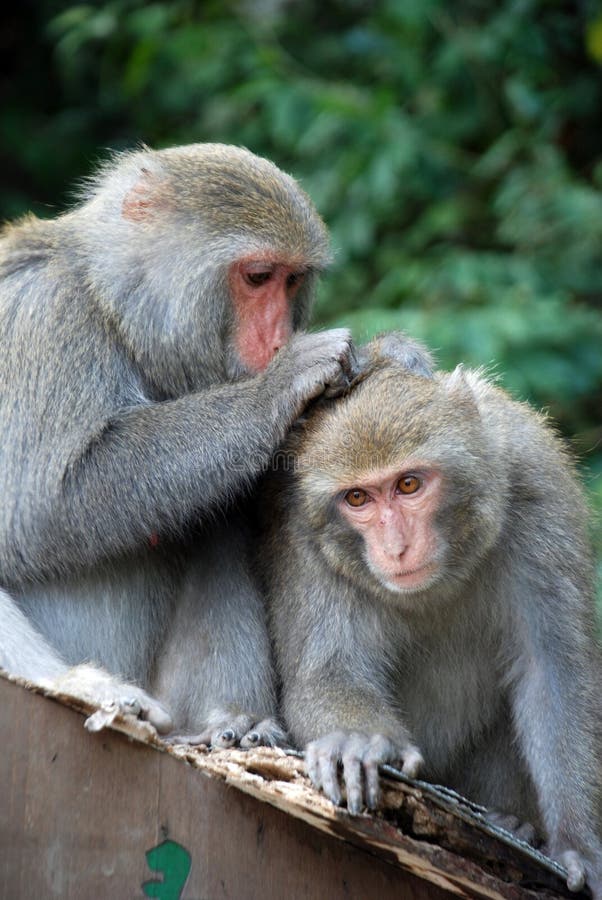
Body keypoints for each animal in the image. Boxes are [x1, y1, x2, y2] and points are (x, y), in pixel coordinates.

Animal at [0, 141, 360, 744]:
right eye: (258, 276)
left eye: (292, 282)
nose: (279, 339)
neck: (112, 310)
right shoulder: (42, 318)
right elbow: (40, 506)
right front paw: (280, 385)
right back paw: (83, 683)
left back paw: (231, 718)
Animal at [262, 342, 600, 892]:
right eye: (357, 497)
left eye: (409, 484)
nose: (396, 547)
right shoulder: (304, 538)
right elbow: (326, 674)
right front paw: (359, 744)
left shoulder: (537, 488)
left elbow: (554, 676)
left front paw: (579, 847)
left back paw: (513, 824)